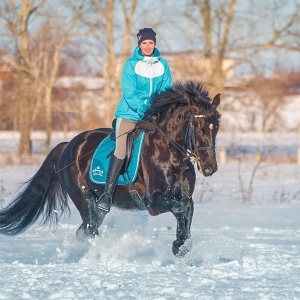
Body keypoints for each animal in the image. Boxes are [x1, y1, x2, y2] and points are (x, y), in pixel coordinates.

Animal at [0, 81, 220, 255]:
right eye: (198, 128)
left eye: (216, 127)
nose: (210, 167)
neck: (169, 152)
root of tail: (68, 145)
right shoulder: (153, 202)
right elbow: (179, 207)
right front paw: (178, 245)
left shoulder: (185, 197)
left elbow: (186, 210)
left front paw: (181, 246)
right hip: (85, 198)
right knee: (88, 229)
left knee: (85, 230)